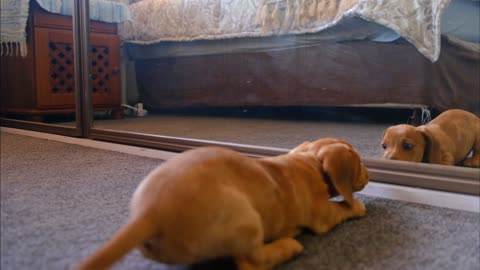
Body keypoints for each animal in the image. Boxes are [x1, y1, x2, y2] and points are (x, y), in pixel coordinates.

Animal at [75, 138, 370, 268]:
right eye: (358, 162)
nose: (369, 174)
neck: (309, 162)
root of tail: (149, 213)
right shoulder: (324, 216)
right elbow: (342, 208)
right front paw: (357, 206)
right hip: (247, 221)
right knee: (250, 262)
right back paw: (288, 246)